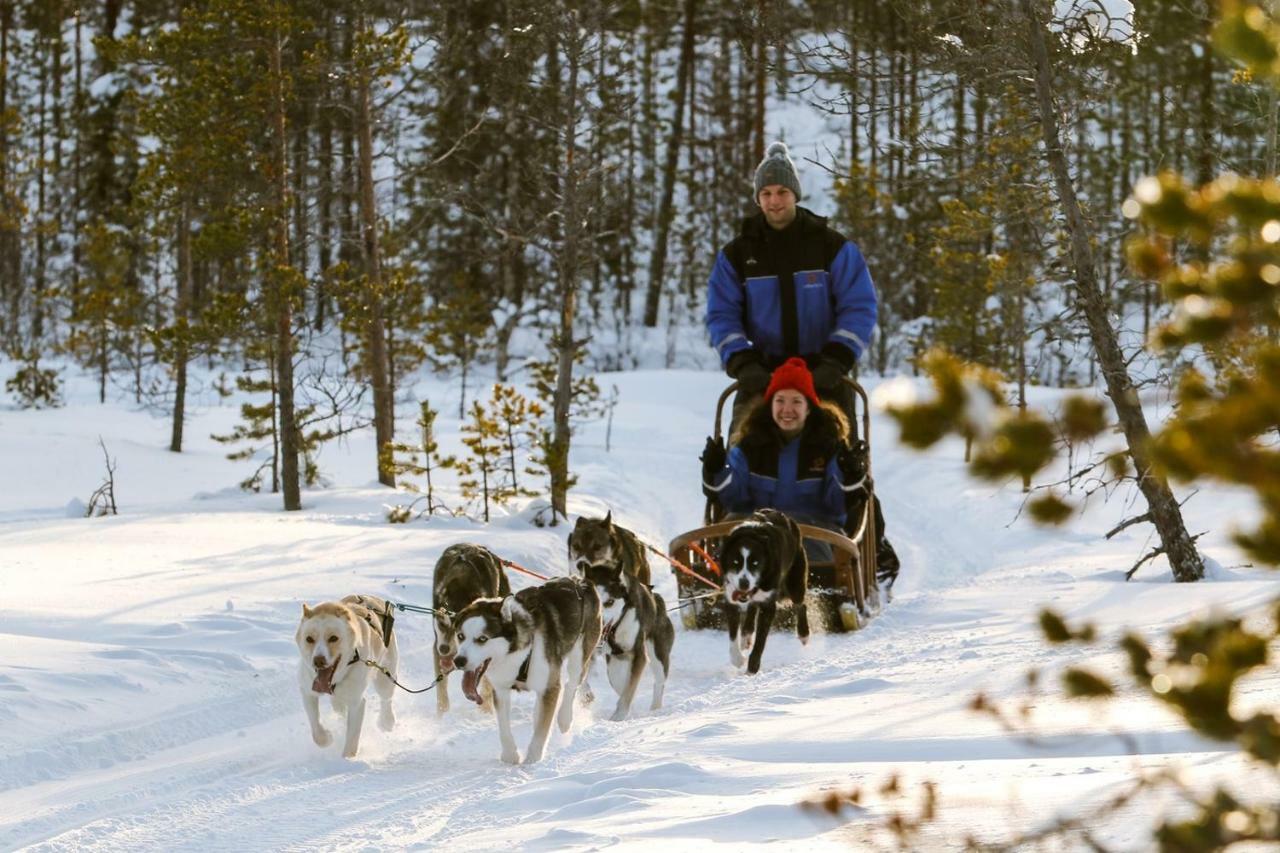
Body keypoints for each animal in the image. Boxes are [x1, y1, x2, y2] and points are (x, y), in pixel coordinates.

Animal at [295, 594, 399, 753]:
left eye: (333, 638)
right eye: (309, 639)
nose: (318, 660)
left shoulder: (357, 703)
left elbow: (352, 739)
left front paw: (347, 758)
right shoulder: (308, 692)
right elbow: (316, 730)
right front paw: (326, 738)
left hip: (385, 678)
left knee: (386, 699)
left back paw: (386, 721)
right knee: (339, 707)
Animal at [430, 540, 509, 712]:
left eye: (459, 629)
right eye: (442, 624)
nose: (444, 649)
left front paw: (486, 707)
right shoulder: (437, 646)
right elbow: (441, 689)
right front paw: (442, 712)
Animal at [455, 578, 604, 763]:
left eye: (482, 639)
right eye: (460, 636)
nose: (458, 661)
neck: (518, 654)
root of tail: (579, 581)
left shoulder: (550, 687)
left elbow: (542, 730)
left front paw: (533, 759)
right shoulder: (501, 689)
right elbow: (504, 727)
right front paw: (510, 756)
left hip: (580, 654)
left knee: (572, 683)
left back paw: (564, 718)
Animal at [586, 563, 675, 717]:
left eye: (610, 602)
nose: (598, 624)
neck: (615, 629)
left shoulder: (639, 654)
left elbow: (629, 688)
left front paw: (618, 716)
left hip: (658, 655)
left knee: (659, 681)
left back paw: (655, 708)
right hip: (616, 661)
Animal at [721, 507, 808, 676]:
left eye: (755, 563)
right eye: (735, 562)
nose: (744, 583)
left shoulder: (768, 605)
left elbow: (760, 641)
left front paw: (752, 668)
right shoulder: (731, 599)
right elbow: (733, 635)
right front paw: (737, 658)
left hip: (795, 583)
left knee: (801, 605)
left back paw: (804, 634)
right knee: (752, 609)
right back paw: (746, 635)